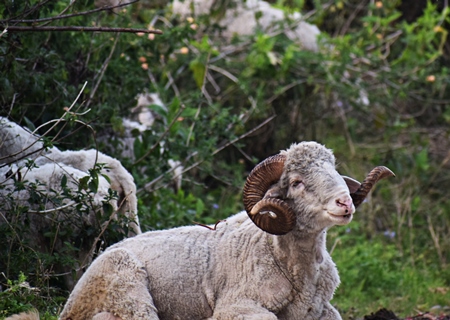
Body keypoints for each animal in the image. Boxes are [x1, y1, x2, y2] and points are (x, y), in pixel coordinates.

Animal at [55, 142, 394, 320]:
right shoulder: (236, 306)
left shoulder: (323, 311)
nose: (344, 202)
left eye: (334, 170)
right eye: (296, 181)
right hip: (126, 287)